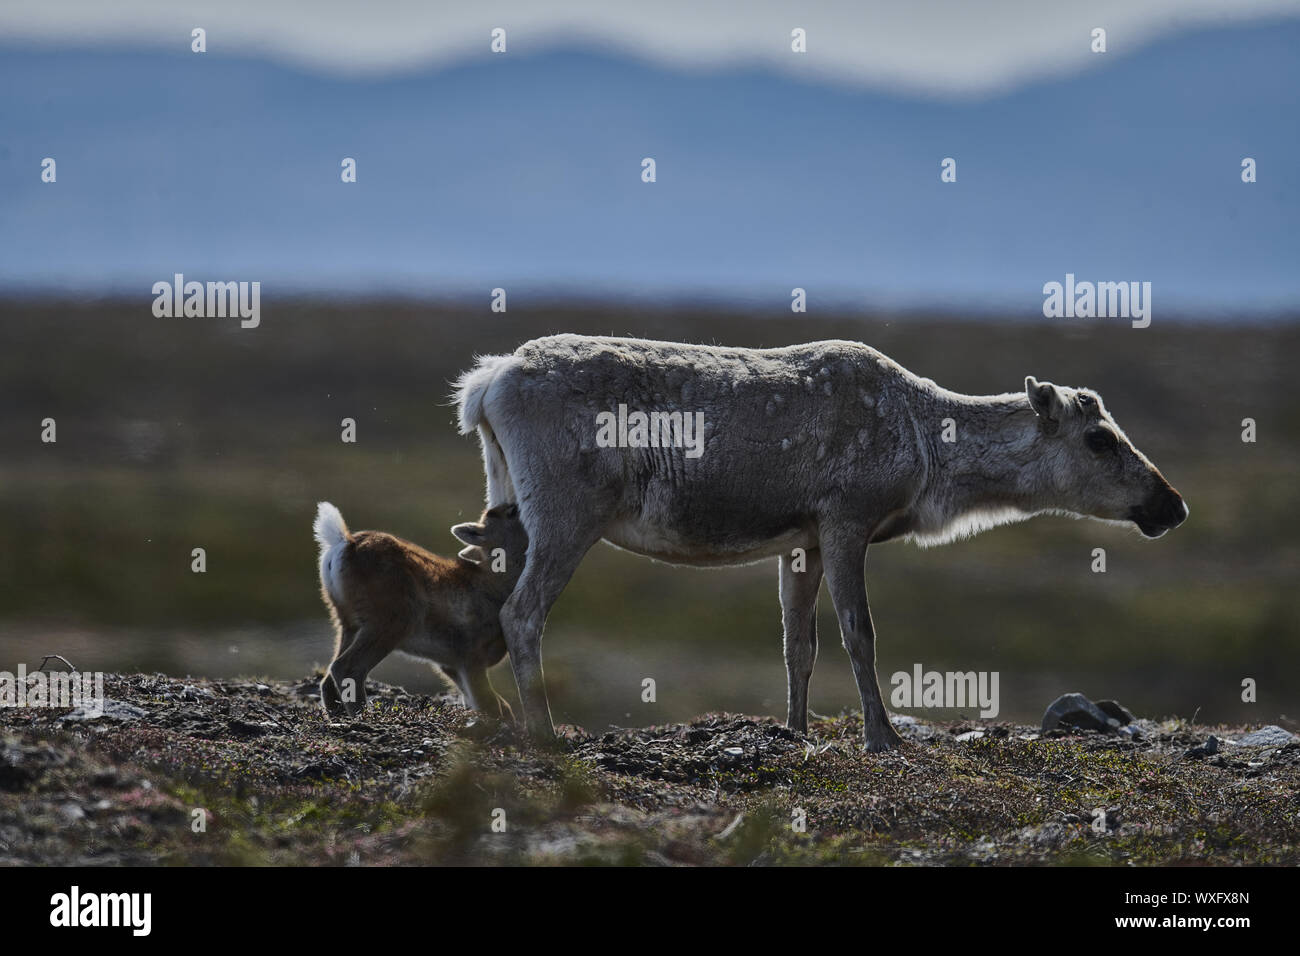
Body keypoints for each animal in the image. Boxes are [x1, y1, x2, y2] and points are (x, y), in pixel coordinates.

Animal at [312, 504, 525, 723]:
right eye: (510, 513)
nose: (514, 505)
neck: (496, 586)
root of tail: (345, 542)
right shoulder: (469, 653)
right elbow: (489, 704)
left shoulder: (449, 662)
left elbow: (493, 703)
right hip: (391, 619)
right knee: (347, 667)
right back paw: (365, 716)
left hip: (348, 623)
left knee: (329, 677)